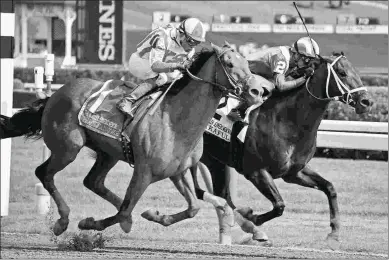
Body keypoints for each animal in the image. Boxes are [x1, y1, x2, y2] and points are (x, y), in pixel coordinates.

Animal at [1, 44, 262, 236]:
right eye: (230, 63)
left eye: (247, 63)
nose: (257, 91)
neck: (175, 120)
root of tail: (55, 94)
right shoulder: (143, 171)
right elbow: (126, 211)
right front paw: (89, 223)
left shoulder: (177, 171)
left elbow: (193, 208)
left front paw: (153, 215)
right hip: (68, 148)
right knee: (44, 173)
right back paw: (62, 221)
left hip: (107, 154)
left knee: (93, 182)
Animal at [192, 51, 372, 247]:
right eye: (342, 73)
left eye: (355, 71)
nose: (366, 101)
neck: (287, 121)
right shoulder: (256, 171)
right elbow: (279, 205)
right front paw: (252, 217)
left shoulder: (293, 172)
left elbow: (329, 187)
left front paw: (335, 231)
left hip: (213, 160)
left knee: (221, 194)